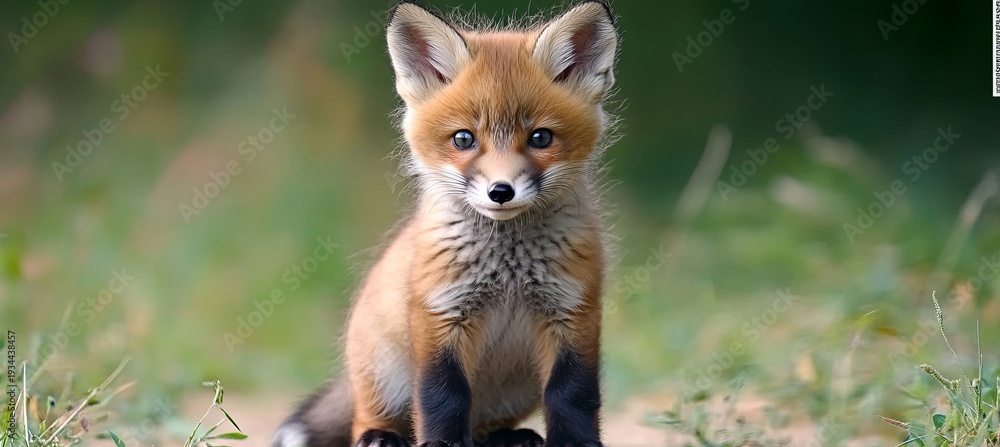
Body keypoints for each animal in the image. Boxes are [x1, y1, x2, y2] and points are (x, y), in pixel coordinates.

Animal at [273, 1, 619, 446]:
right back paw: (381, 436)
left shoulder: (573, 311)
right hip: (382, 375)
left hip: (517, 389)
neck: (508, 269)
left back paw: (509, 437)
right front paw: (442, 442)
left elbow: (573, 392)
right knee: (366, 420)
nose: (501, 191)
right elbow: (442, 394)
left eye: (541, 138)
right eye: (463, 139)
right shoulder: (441, 311)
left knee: (486, 426)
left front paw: (576, 442)